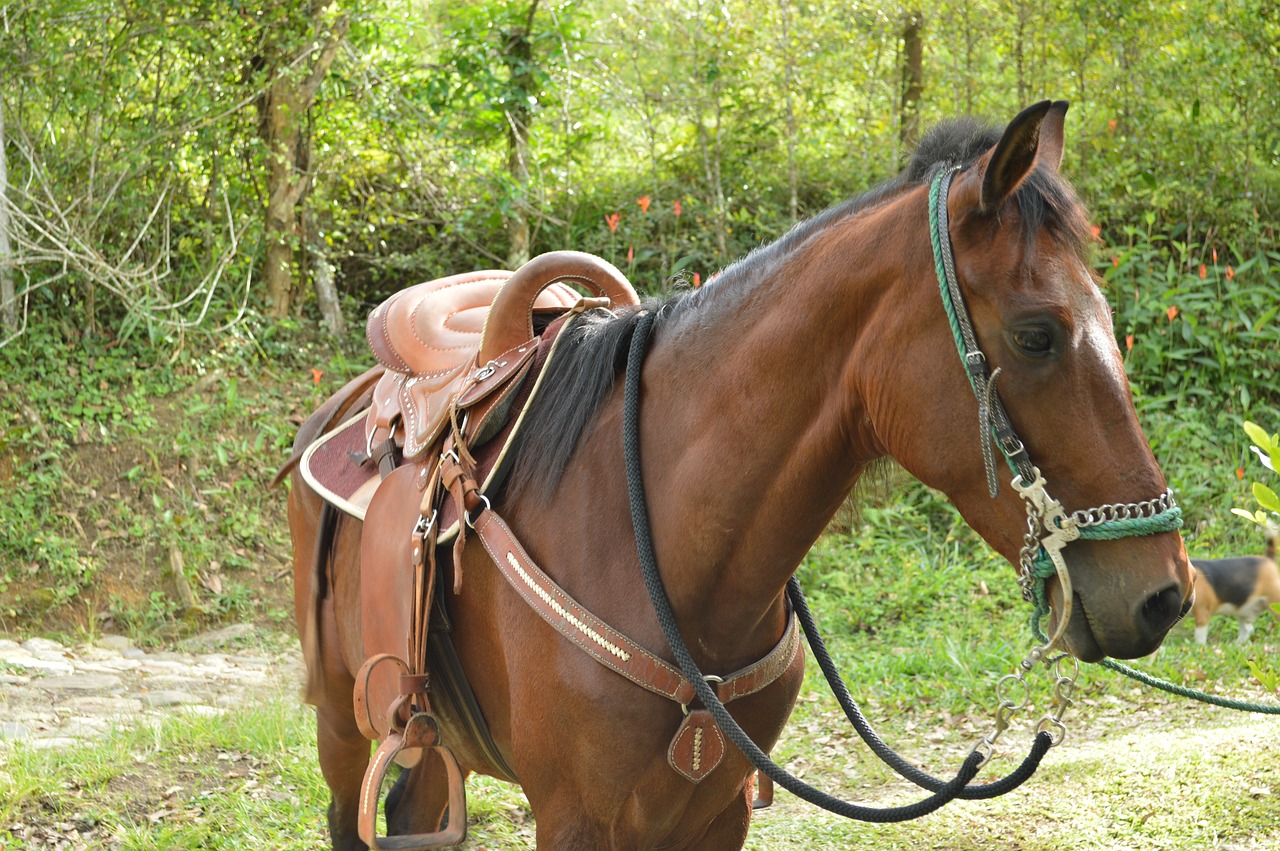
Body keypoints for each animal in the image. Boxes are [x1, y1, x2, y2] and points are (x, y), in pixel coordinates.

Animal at [280, 101, 1187, 849]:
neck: (657, 541)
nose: (1165, 592)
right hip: (341, 718)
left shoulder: (713, 812)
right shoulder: (574, 814)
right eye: (1038, 334)